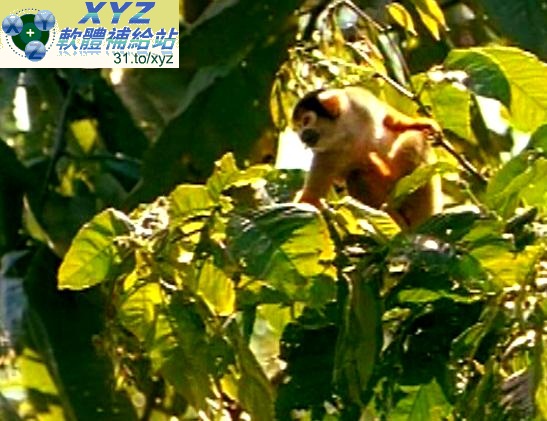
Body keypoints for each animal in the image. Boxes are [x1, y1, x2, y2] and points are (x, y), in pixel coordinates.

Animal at [291, 86, 442, 229]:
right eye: (298, 127)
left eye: (306, 121)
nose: (302, 136)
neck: (343, 133)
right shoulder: (325, 155)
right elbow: (311, 199)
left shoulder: (358, 101)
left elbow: (388, 118)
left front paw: (421, 123)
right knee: (357, 175)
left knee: (416, 138)